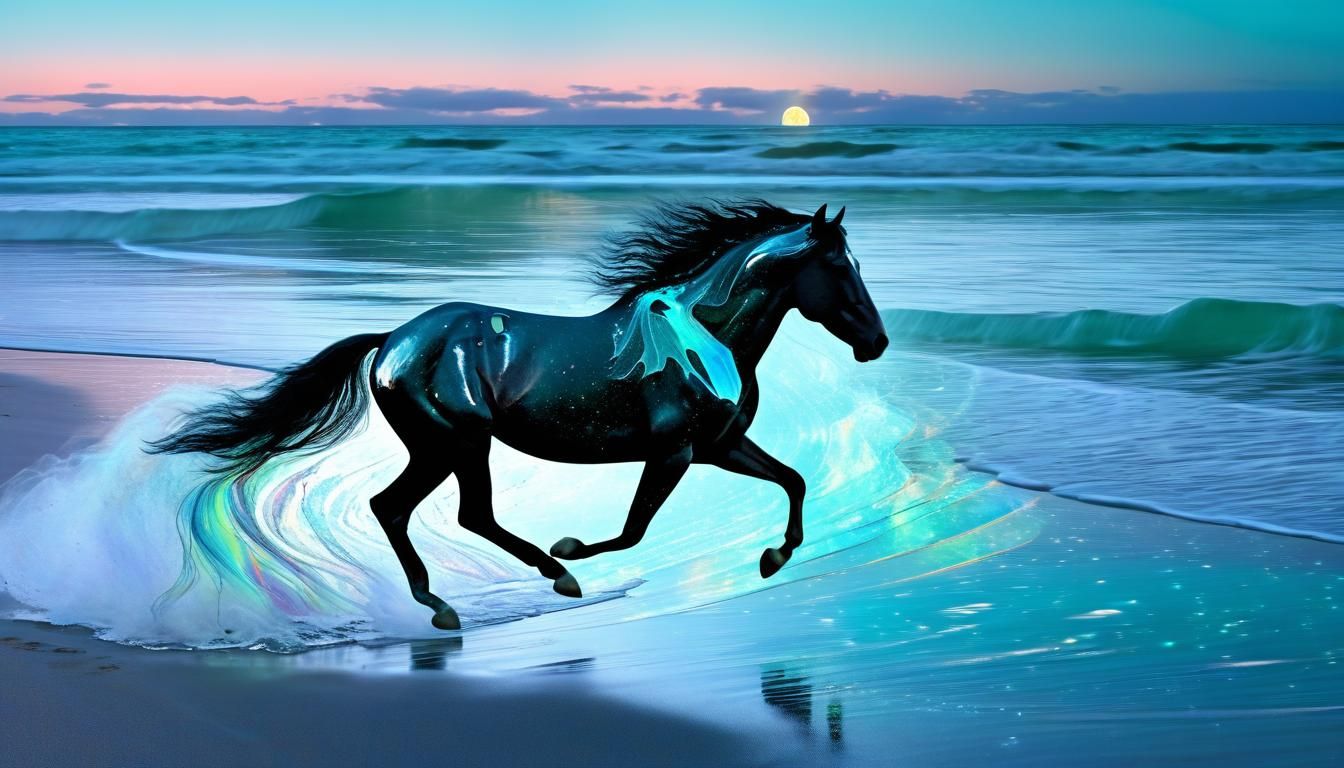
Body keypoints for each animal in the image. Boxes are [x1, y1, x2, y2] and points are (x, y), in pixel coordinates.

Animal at [150, 200, 888, 630]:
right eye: (838, 268)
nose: (876, 342)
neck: (706, 332)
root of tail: (391, 342)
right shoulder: (675, 452)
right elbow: (634, 530)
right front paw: (571, 550)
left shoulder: (721, 446)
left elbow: (793, 480)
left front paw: (773, 558)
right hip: (457, 444)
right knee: (447, 512)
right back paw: (540, 580)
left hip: (443, 449)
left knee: (410, 510)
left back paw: (449, 603)